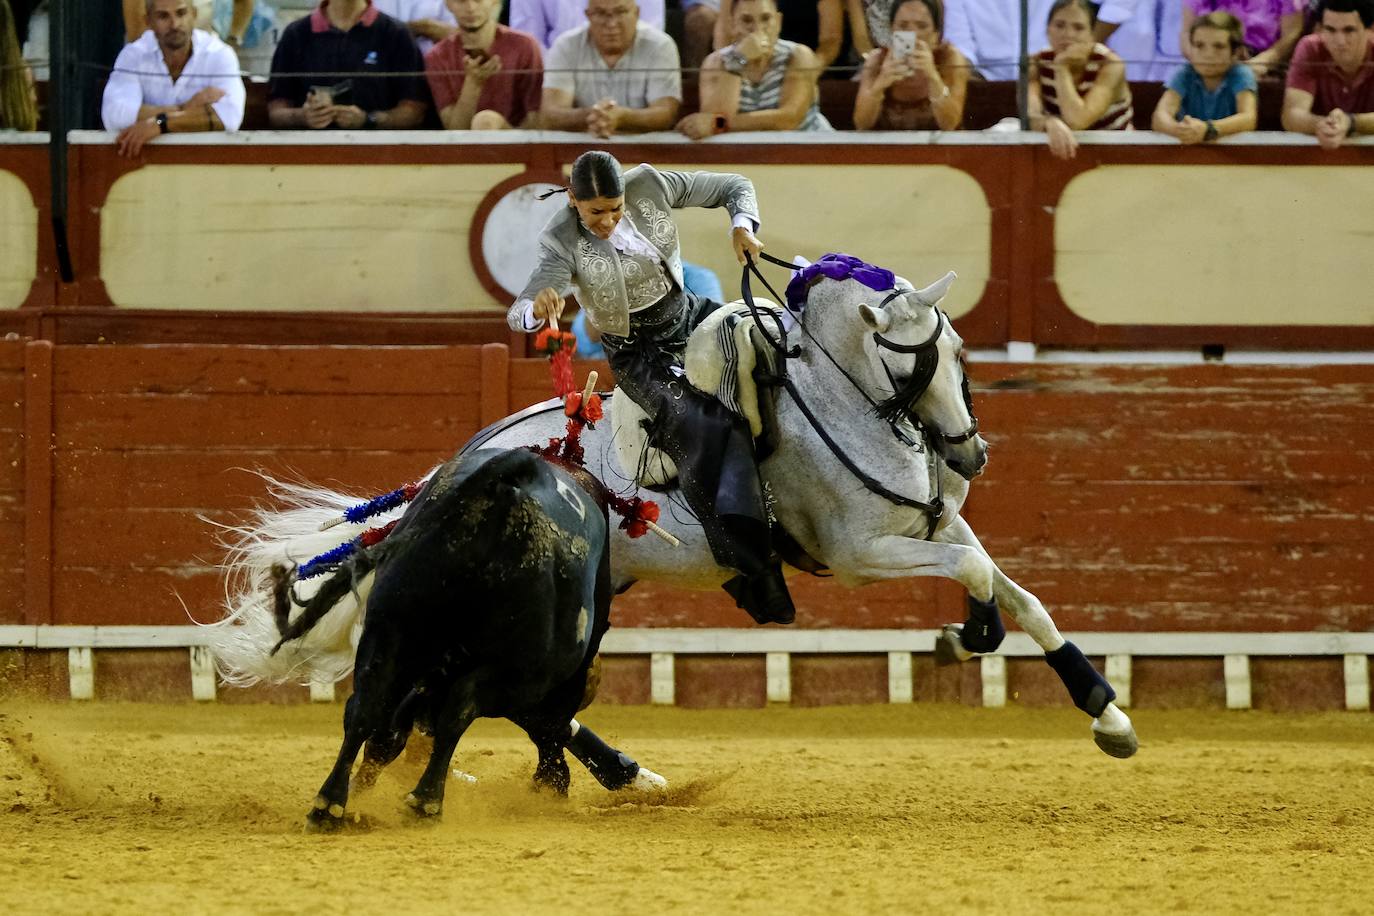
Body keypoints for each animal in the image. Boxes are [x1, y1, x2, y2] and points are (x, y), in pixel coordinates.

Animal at [278, 447, 648, 829]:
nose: (553, 785)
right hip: (509, 669)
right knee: (458, 710)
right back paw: (426, 800)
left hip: (387, 630)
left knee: (366, 706)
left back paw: (330, 804)